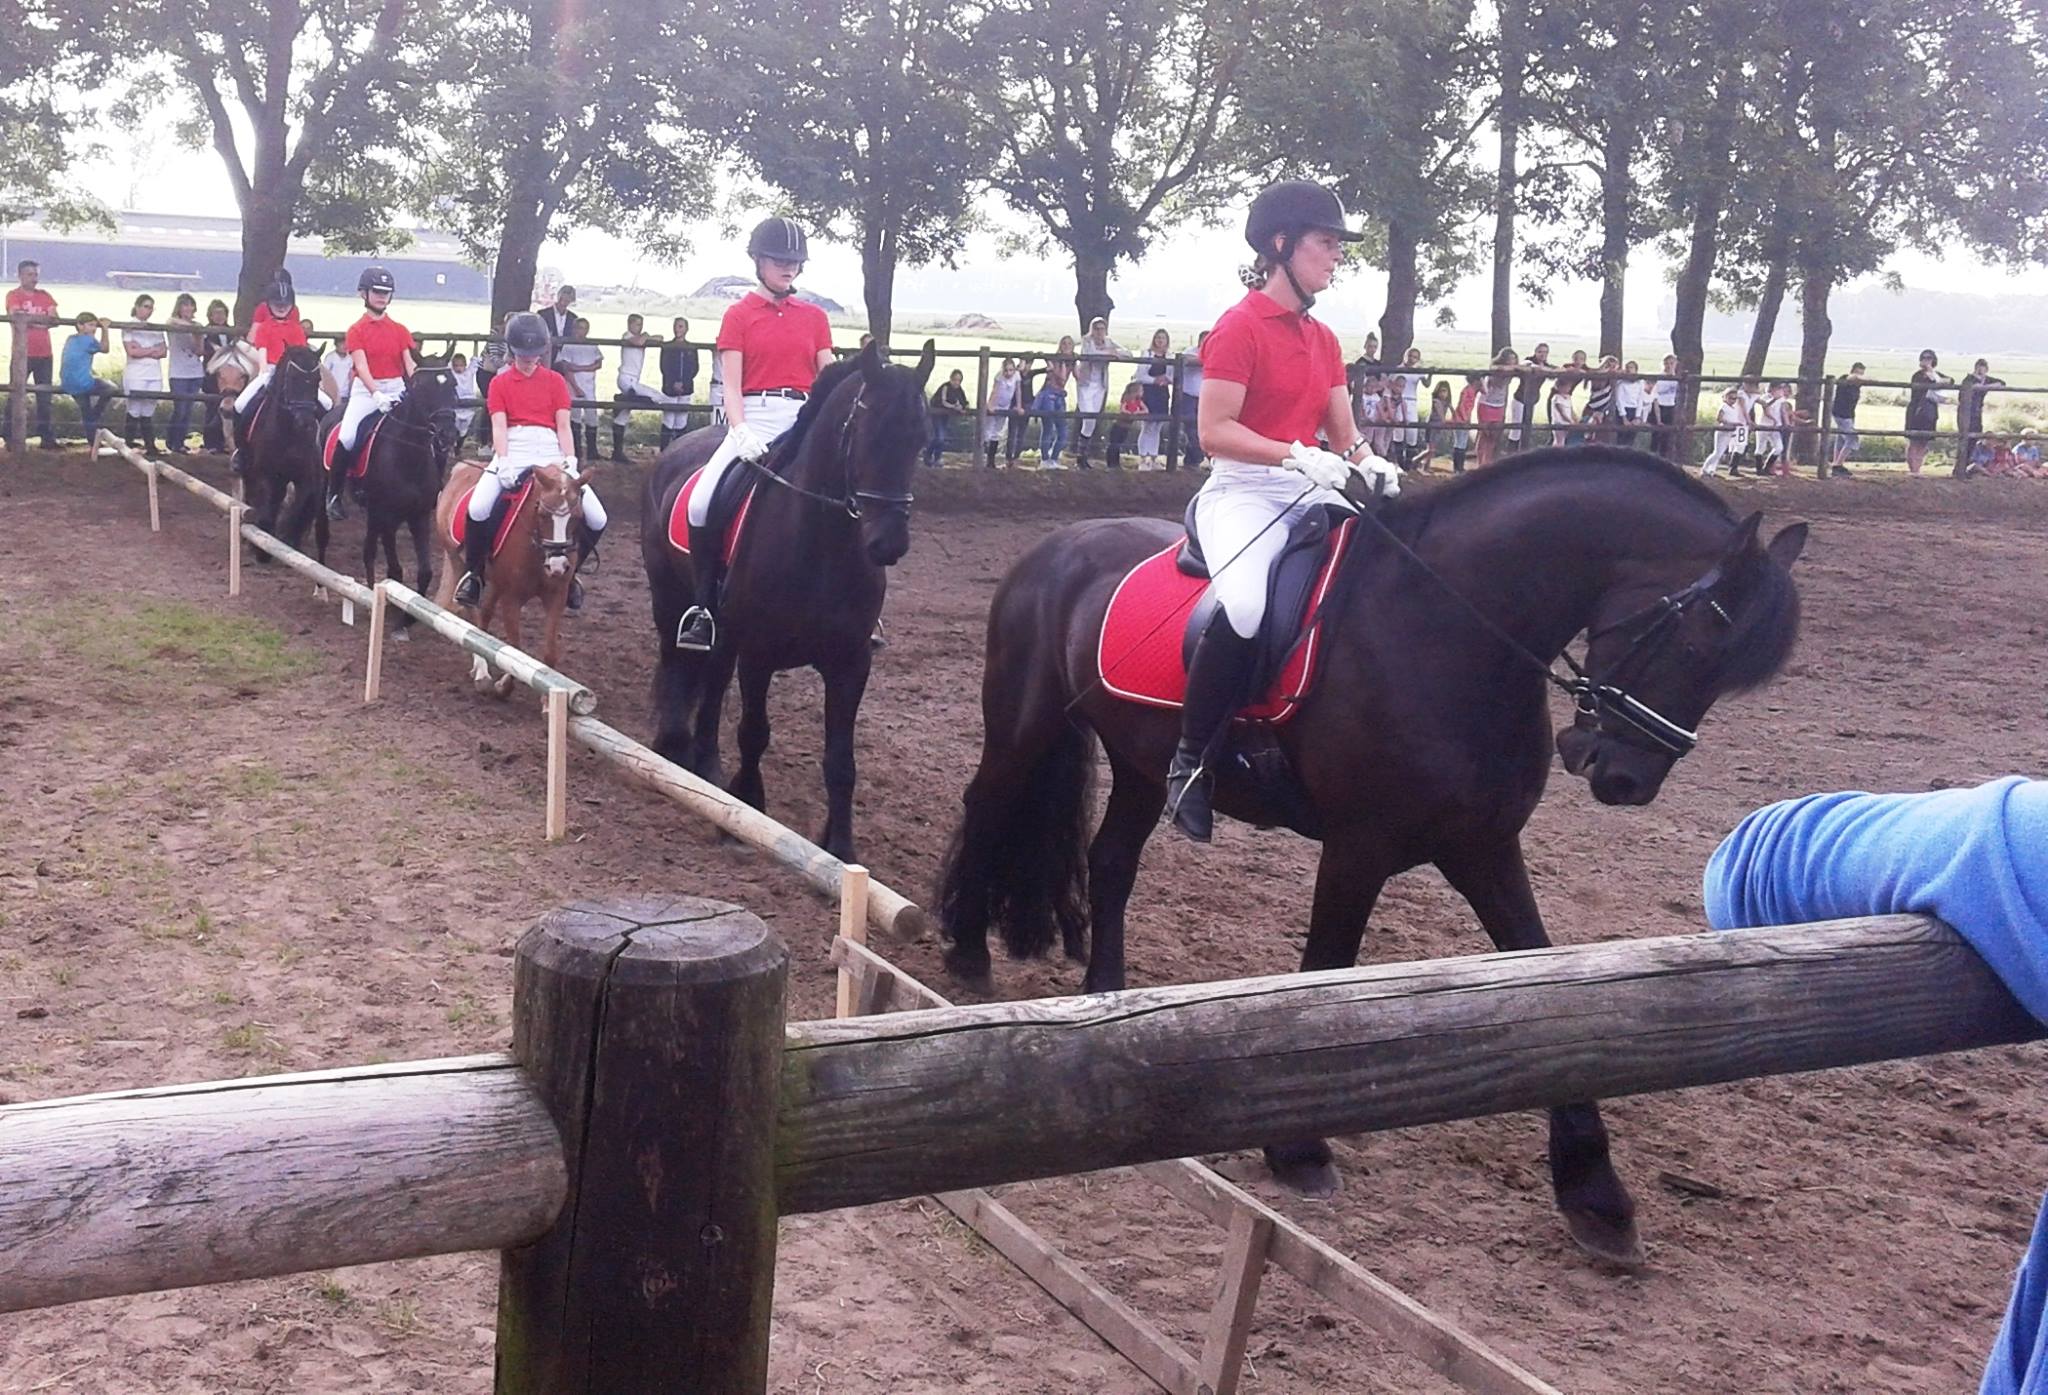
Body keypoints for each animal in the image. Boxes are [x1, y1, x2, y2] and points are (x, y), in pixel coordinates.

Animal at [236, 346, 327, 557]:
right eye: (292, 378)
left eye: (318, 379)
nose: (306, 423)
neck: (289, 433)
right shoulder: (265, 476)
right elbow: (266, 508)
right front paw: (261, 550)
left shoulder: (305, 478)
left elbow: (297, 510)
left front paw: (289, 539)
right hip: (252, 472)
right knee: (254, 497)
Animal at [319, 362, 460, 606]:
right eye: (421, 387)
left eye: (453, 384)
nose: (448, 434)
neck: (409, 457)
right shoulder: (387, 517)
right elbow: (396, 572)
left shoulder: (419, 516)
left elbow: (425, 572)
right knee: (323, 533)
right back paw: (321, 590)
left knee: (368, 551)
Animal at [638, 337, 937, 860]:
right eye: (866, 432)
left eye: (919, 438)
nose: (888, 544)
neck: (821, 544)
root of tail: (677, 449)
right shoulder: (759, 654)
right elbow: (754, 733)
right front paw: (746, 809)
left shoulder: (851, 662)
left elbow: (841, 759)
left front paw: (840, 847)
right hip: (671, 600)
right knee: (680, 666)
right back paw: (681, 753)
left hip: (725, 635)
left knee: (710, 687)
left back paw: (704, 770)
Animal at [933, 446, 1810, 1261]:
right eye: (1697, 641)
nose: (1625, 778)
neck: (1448, 627)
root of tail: (1061, 542)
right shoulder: (1359, 847)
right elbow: (1325, 969)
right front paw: (1297, 1148)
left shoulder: (1484, 845)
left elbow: (1543, 970)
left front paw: (1595, 1192)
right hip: (1024, 723)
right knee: (986, 807)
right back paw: (968, 951)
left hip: (1144, 763)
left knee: (1113, 860)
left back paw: (1107, 996)